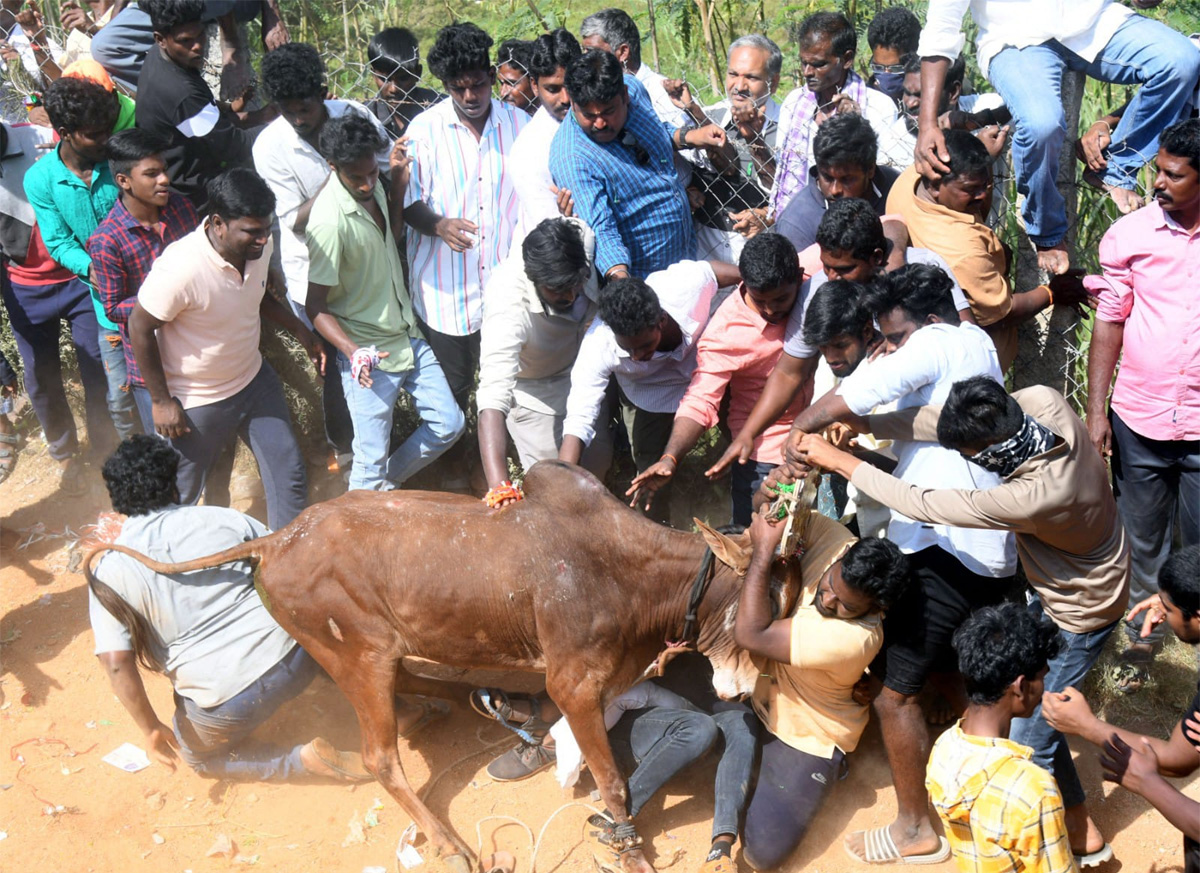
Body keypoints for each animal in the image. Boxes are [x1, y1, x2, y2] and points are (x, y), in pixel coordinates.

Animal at [82, 460, 796, 868]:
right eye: (758, 612)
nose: (744, 691)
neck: (630, 573)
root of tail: (276, 538)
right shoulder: (574, 684)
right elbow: (614, 783)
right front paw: (630, 851)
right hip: (358, 653)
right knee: (379, 758)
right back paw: (451, 841)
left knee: (414, 694)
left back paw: (467, 704)